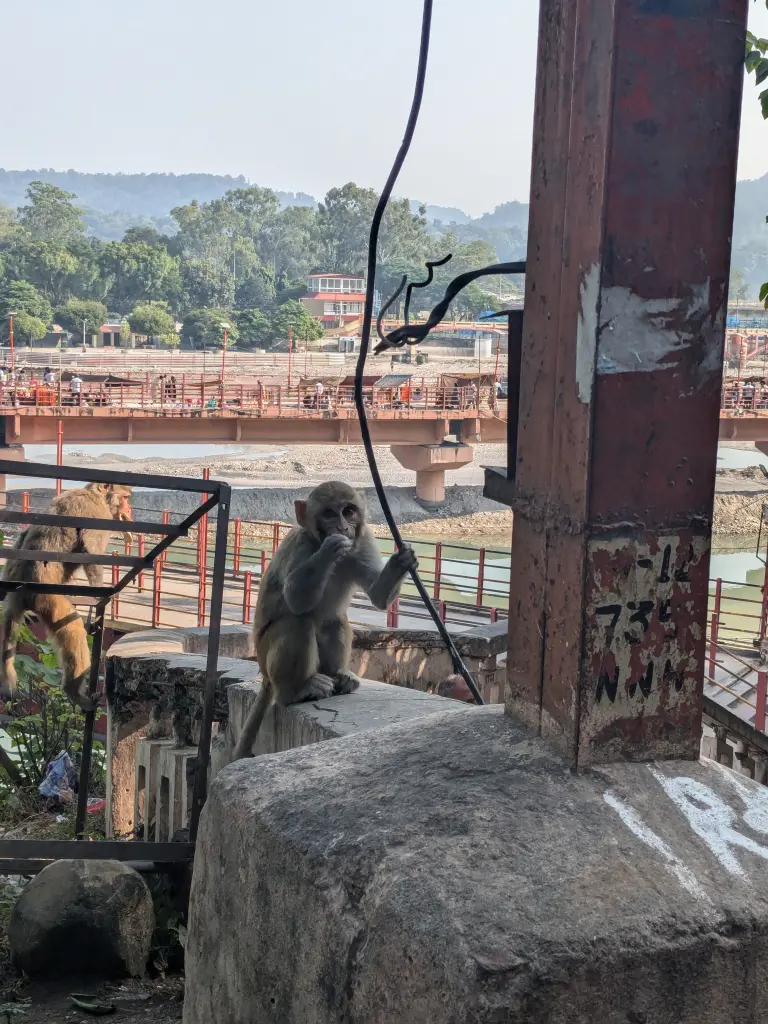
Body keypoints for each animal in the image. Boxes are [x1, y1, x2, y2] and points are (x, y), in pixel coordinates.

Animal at [0, 481, 132, 708]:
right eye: (124, 498)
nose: (128, 508)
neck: (95, 495)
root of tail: (21, 590)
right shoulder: (97, 514)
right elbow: (91, 551)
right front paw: (101, 597)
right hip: (47, 599)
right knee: (73, 629)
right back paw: (73, 692)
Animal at [233, 481, 421, 761]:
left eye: (349, 511)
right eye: (329, 514)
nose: (343, 527)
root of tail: (265, 677)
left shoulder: (363, 541)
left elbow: (377, 595)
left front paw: (402, 560)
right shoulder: (300, 546)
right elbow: (295, 598)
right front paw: (329, 550)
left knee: (334, 620)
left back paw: (338, 676)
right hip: (266, 657)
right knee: (298, 622)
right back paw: (296, 691)